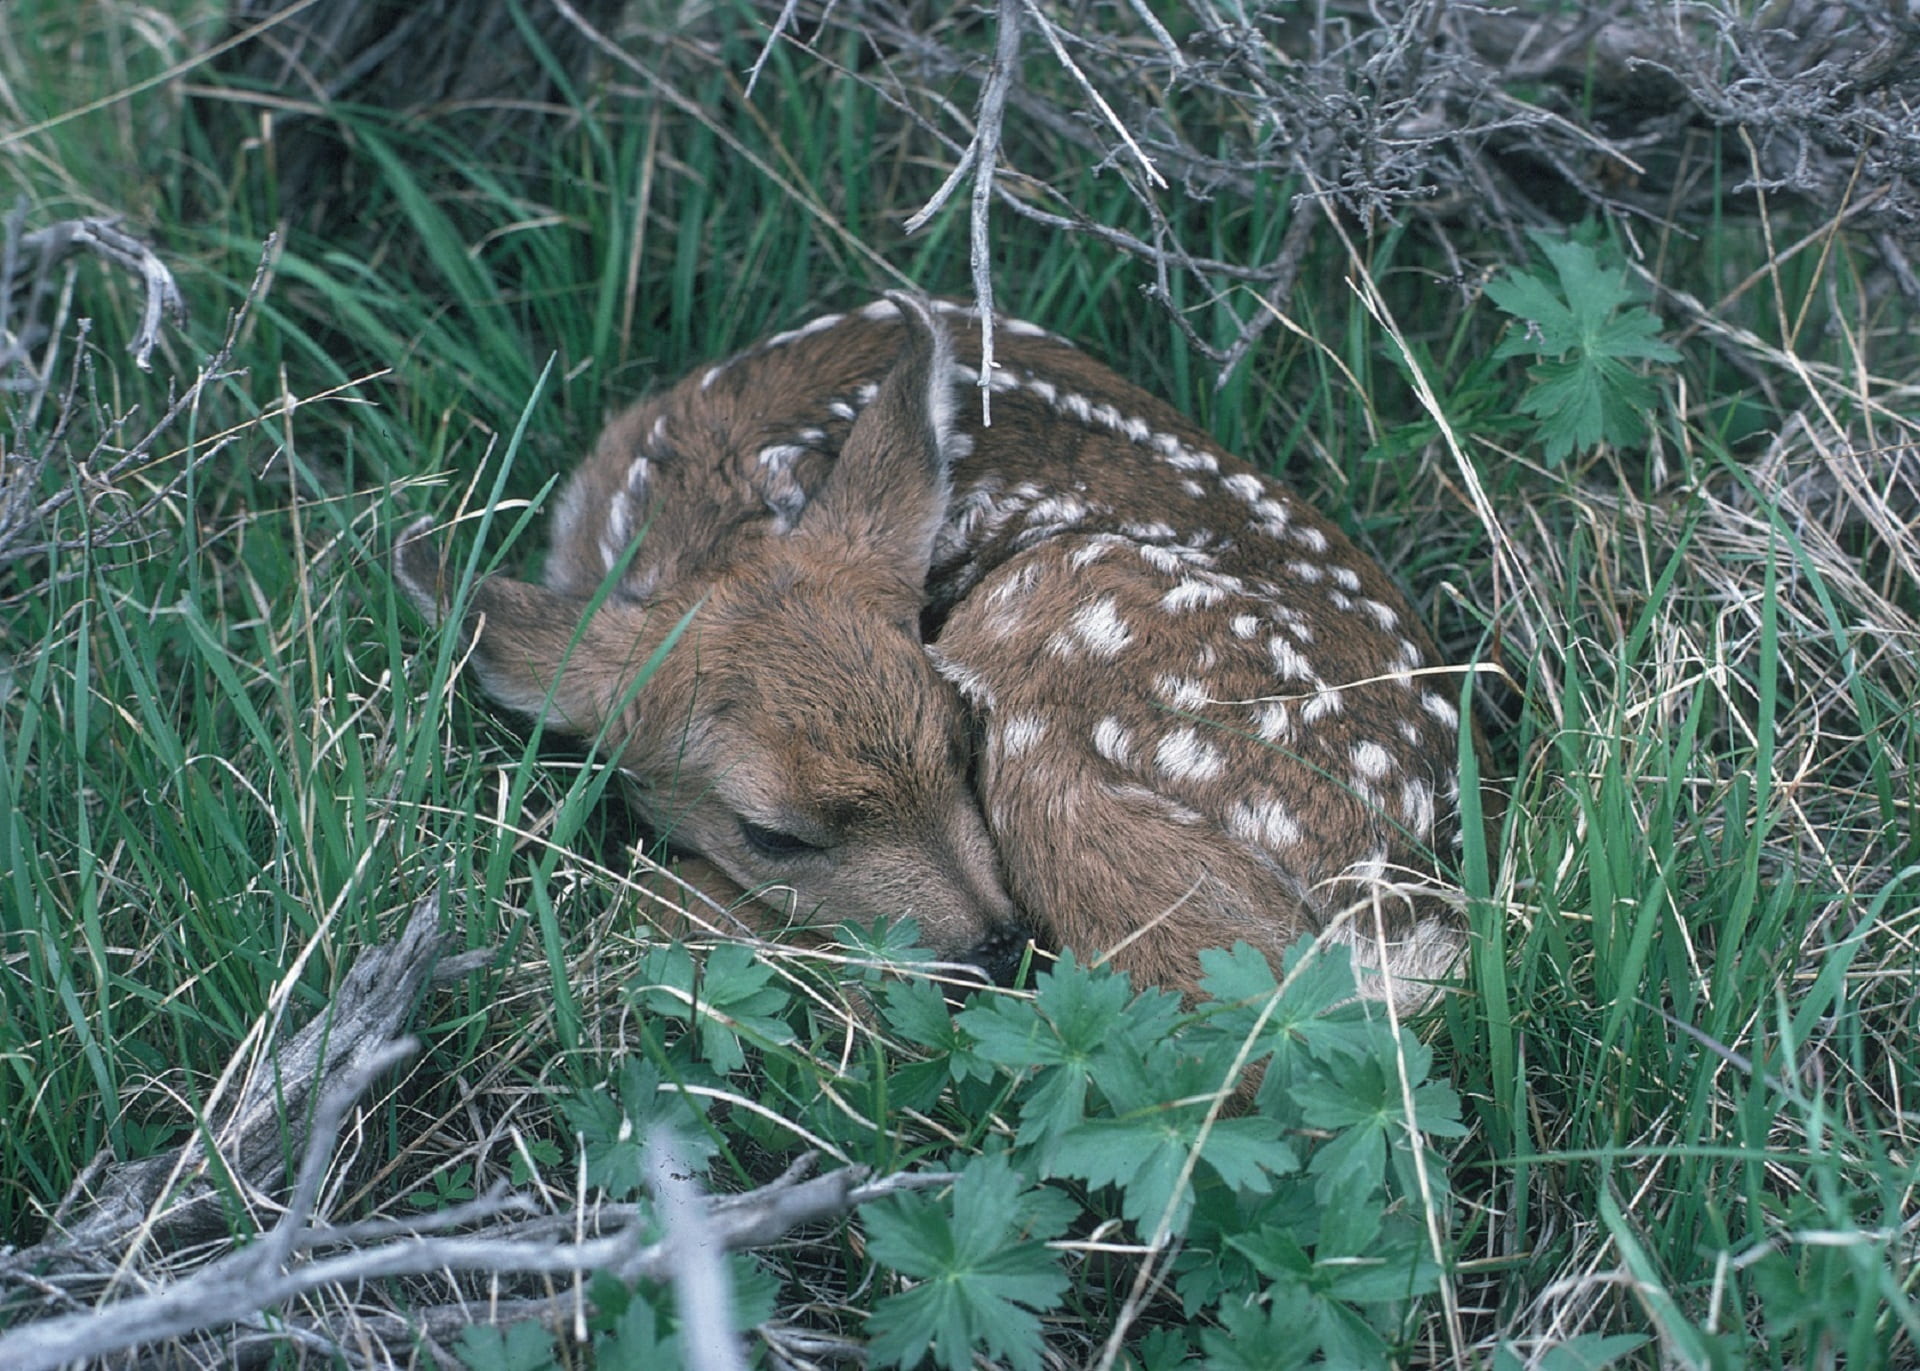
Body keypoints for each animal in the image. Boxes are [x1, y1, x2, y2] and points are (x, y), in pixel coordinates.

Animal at [396, 293, 1470, 1009]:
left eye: (962, 741)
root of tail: (1393, 896)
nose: (996, 948)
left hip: (1058, 608)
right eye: (772, 833)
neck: (708, 509)